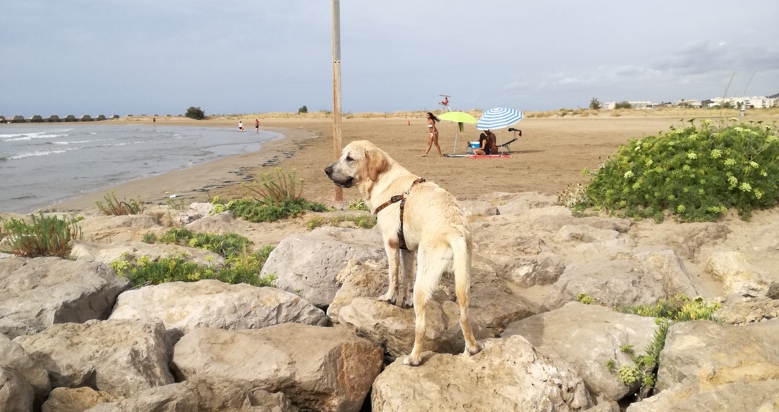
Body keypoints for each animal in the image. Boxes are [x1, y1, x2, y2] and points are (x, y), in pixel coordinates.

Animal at [322, 140, 482, 366]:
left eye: (350, 158)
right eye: (342, 154)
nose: (326, 170)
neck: (382, 181)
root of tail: (454, 229)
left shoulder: (390, 242)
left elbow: (393, 276)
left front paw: (389, 297)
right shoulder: (407, 249)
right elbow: (406, 276)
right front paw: (404, 302)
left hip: (425, 280)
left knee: (421, 327)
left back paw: (414, 358)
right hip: (464, 279)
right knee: (464, 316)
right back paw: (472, 348)